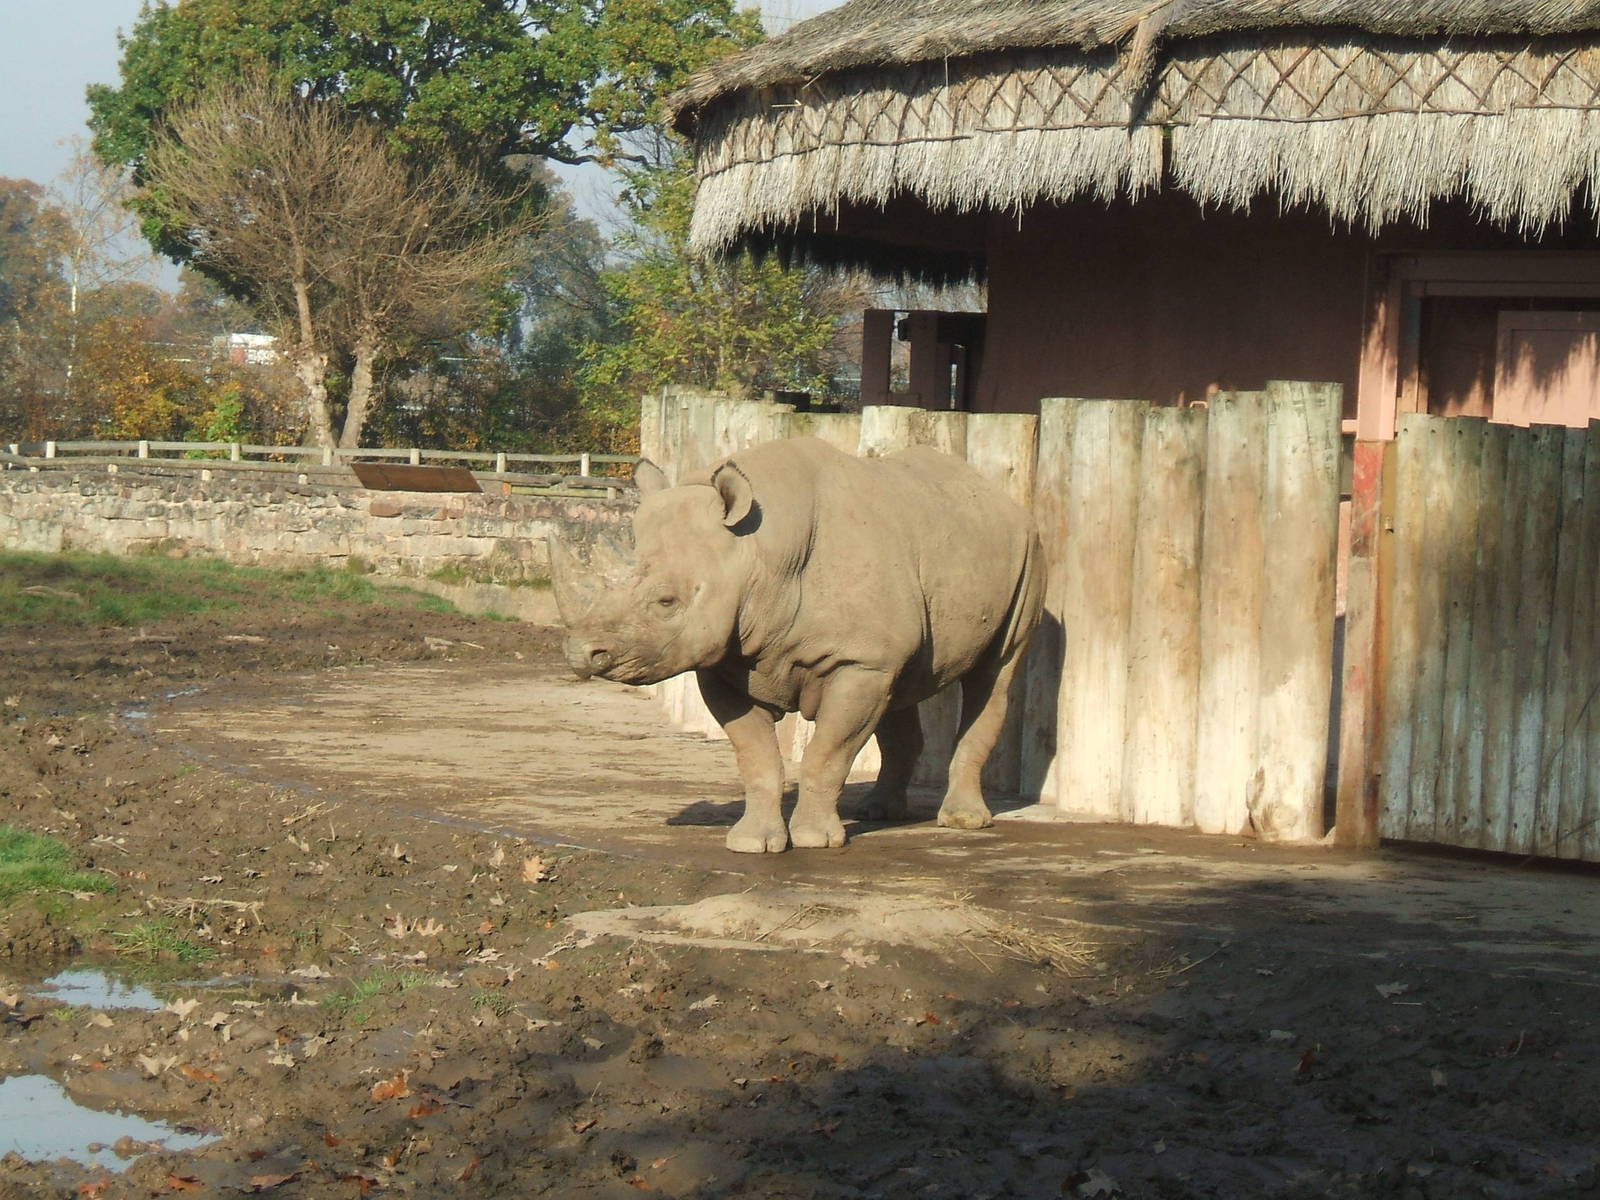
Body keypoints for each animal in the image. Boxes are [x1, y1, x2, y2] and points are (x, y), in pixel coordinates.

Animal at [549, 436, 1044, 853]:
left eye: (667, 602)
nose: (581, 654)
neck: (759, 556)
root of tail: (1001, 496)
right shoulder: (729, 661)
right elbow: (757, 759)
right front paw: (752, 844)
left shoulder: (858, 661)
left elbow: (827, 753)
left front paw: (815, 841)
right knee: (903, 686)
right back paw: (880, 812)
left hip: (1027, 553)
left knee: (994, 675)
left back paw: (962, 821)